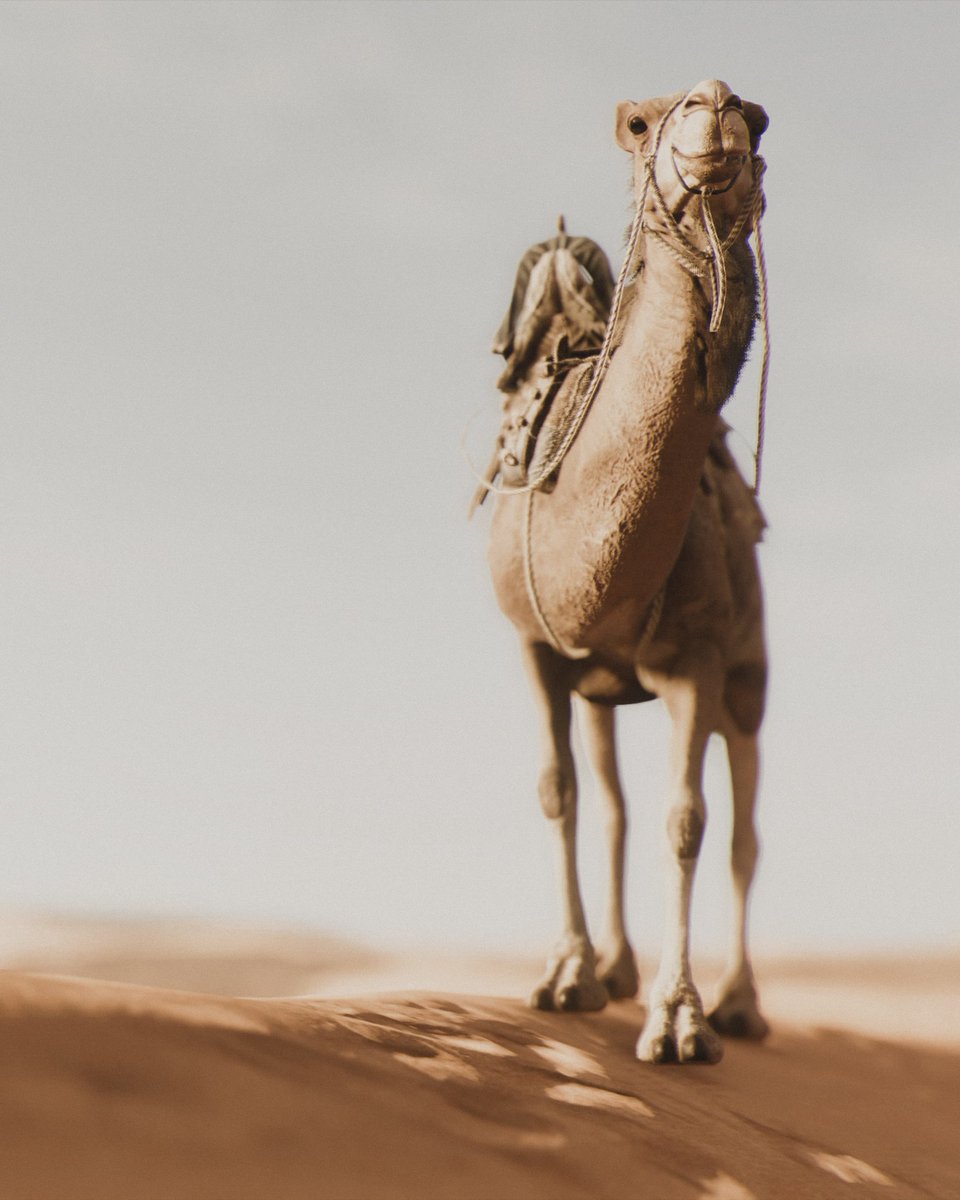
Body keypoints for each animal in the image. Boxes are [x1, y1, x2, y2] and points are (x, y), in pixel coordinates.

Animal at [481, 80, 770, 1064]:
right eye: (640, 122)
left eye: (758, 118)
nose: (713, 105)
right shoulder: (537, 645)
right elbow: (561, 794)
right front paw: (568, 974)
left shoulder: (700, 659)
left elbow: (692, 824)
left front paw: (680, 1020)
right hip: (604, 688)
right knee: (613, 801)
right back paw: (612, 968)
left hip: (748, 675)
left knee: (744, 830)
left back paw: (740, 1004)